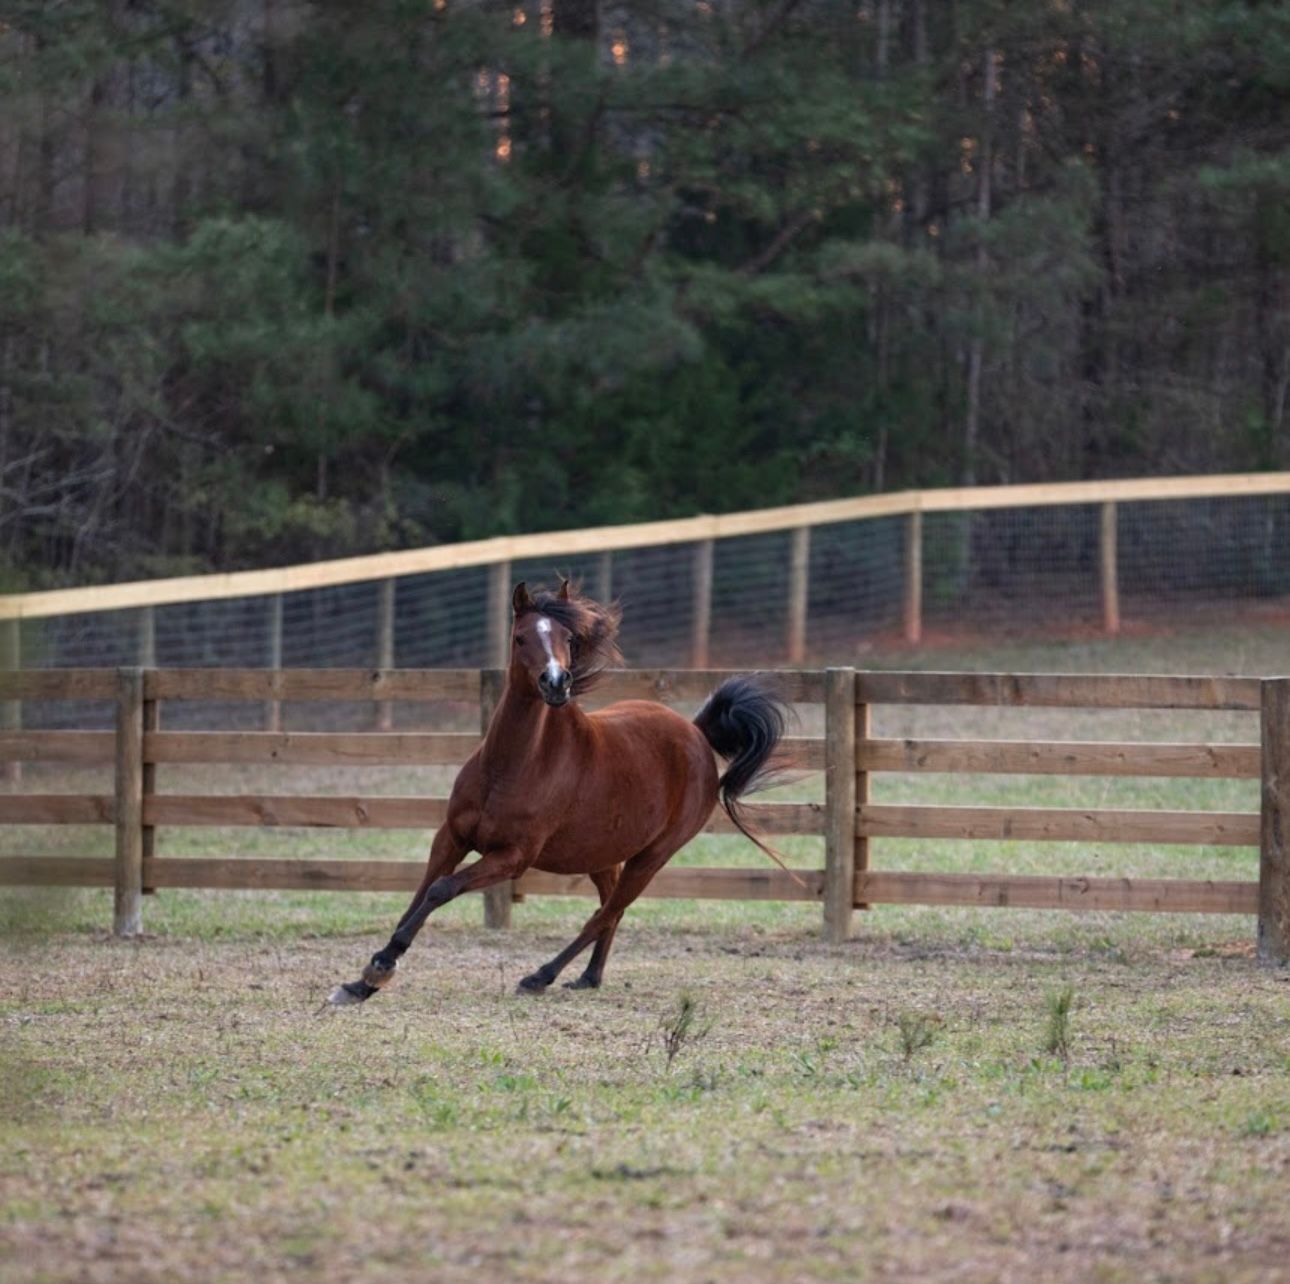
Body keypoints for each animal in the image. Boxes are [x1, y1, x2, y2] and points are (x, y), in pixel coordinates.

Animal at [325, 578, 784, 1011]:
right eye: (520, 637)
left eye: (568, 639)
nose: (557, 682)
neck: (512, 766)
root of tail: (696, 733)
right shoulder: (451, 837)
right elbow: (422, 891)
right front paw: (363, 981)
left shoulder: (513, 857)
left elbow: (441, 889)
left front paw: (379, 970)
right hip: (604, 854)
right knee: (610, 909)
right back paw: (588, 977)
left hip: (653, 856)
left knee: (605, 913)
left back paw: (539, 977)